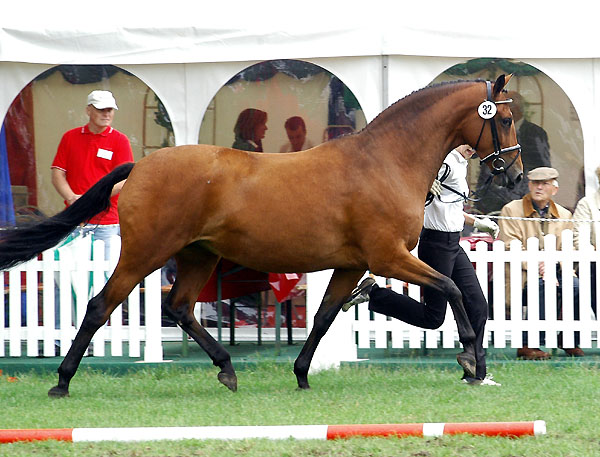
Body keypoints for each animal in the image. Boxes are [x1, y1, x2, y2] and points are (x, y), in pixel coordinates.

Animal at [0, 73, 520, 394]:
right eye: (506, 118)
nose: (514, 176)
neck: (385, 161)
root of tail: (141, 166)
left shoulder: (352, 264)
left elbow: (323, 317)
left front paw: (302, 374)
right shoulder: (387, 257)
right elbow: (452, 286)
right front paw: (472, 362)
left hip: (198, 256)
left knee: (180, 307)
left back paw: (227, 369)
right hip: (144, 254)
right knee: (100, 306)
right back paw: (62, 381)